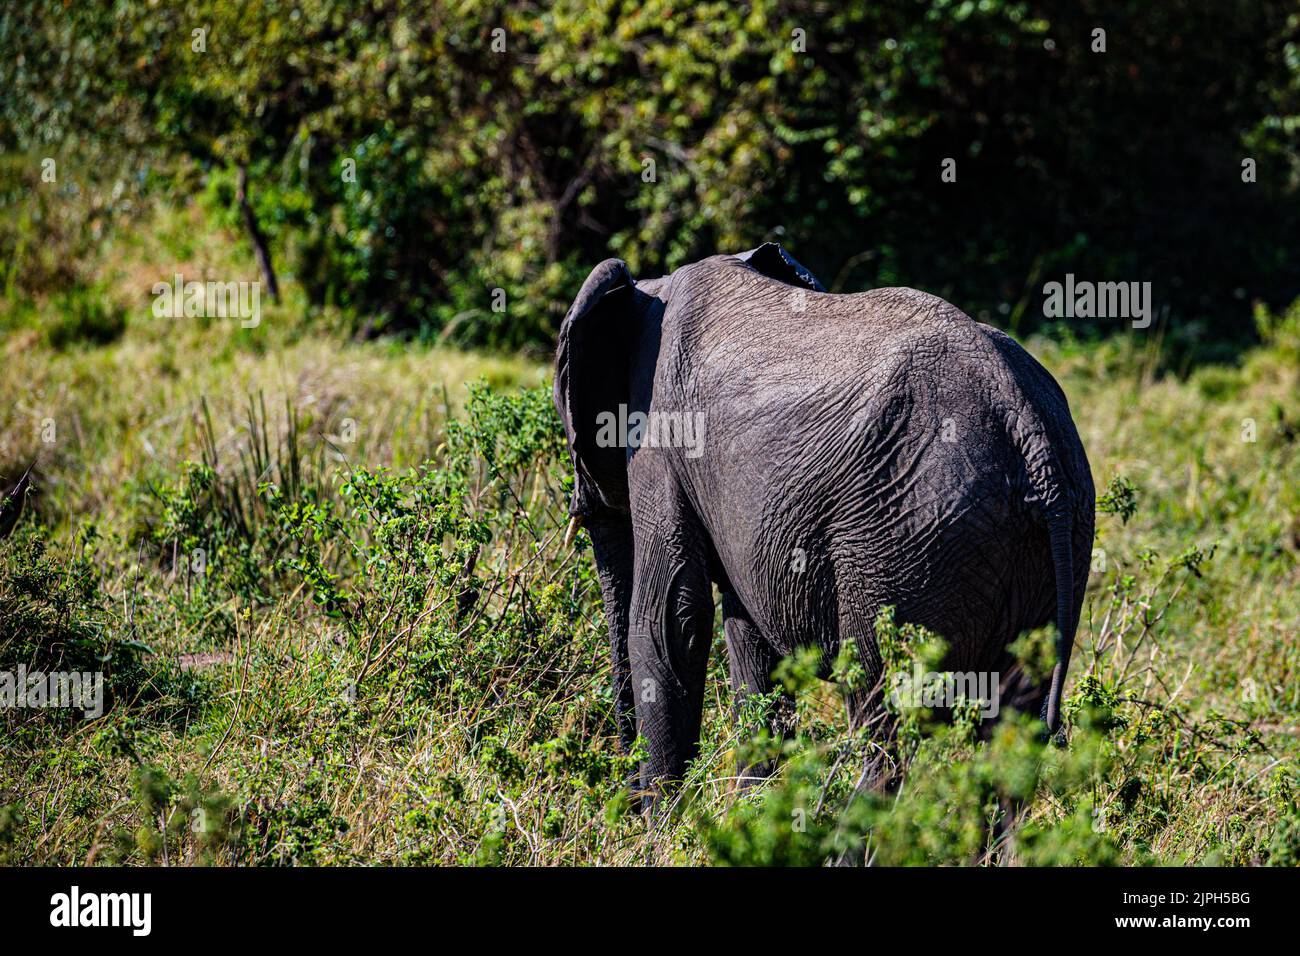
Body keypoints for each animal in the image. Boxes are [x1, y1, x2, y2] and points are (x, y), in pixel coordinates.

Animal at [551, 243, 1097, 806]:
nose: (623, 798)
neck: (648, 291)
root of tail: (1027, 425)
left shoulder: (661, 441)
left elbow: (670, 621)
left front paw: (663, 824)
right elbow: (748, 641)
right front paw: (750, 810)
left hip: (904, 537)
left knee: (882, 713)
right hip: (1049, 537)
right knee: (1009, 730)